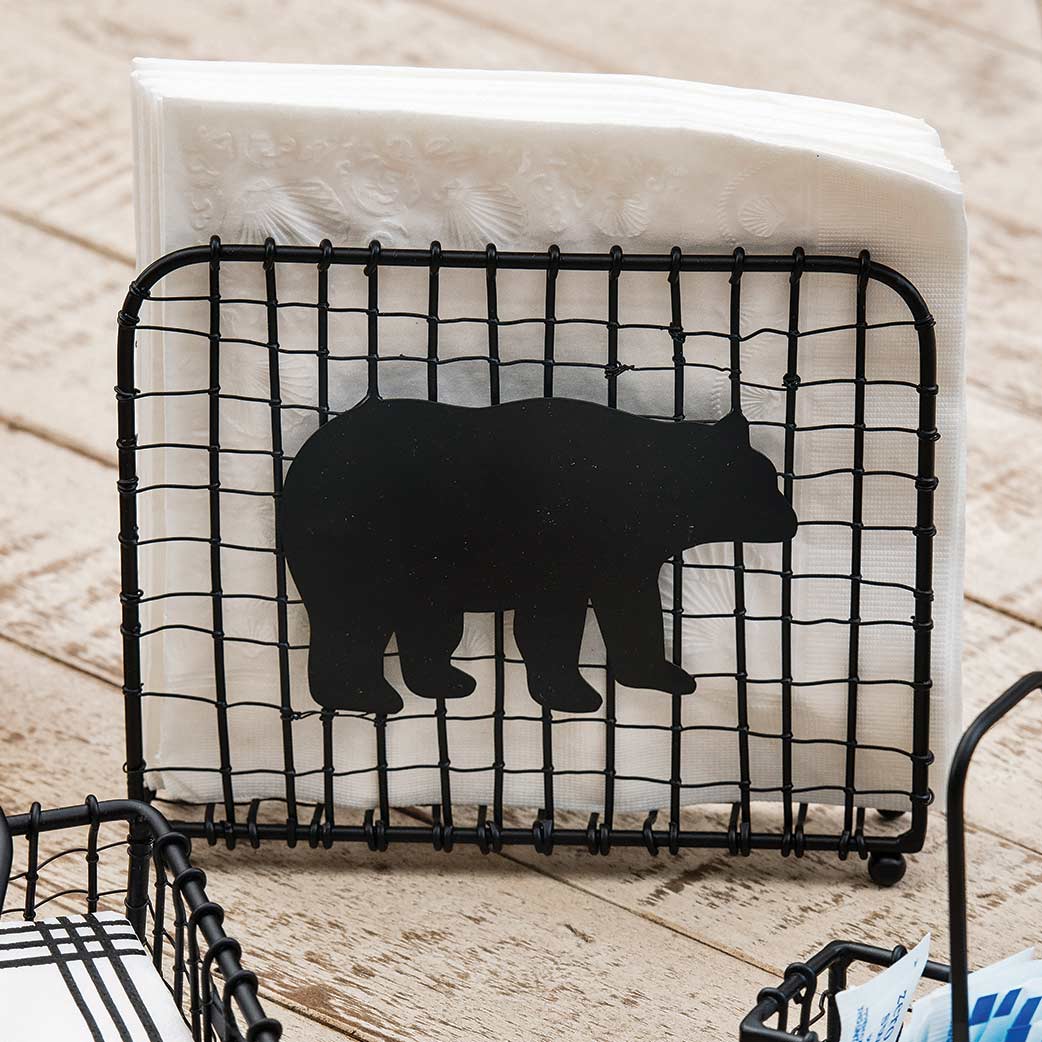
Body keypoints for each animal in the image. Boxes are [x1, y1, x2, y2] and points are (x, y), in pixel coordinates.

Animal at [281, 396, 798, 715]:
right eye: (763, 485)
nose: (792, 520)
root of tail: (296, 469)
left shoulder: (623, 559)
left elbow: (630, 612)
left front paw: (659, 674)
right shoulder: (564, 547)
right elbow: (553, 624)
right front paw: (573, 693)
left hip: (424, 574)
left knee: (421, 628)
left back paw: (444, 681)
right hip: (358, 545)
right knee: (352, 621)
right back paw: (365, 694)